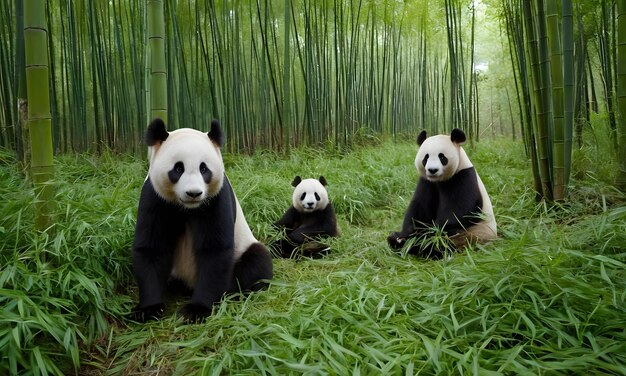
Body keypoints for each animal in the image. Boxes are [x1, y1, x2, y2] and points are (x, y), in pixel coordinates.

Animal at [130, 119, 272, 322]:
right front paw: (148, 309)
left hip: (244, 247)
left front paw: (196, 310)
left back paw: (231, 290)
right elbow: (152, 247)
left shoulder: (216, 197)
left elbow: (215, 249)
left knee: (257, 261)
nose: (194, 193)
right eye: (178, 168)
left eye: (204, 168)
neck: (188, 208)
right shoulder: (155, 197)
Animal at [388, 128, 494, 258]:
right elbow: (419, 208)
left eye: (442, 157)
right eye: (426, 158)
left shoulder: (463, 178)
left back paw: (423, 246)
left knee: (448, 238)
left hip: (472, 235)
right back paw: (397, 240)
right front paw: (407, 232)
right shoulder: (427, 182)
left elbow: (459, 212)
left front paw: (422, 235)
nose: (432, 170)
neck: (439, 181)